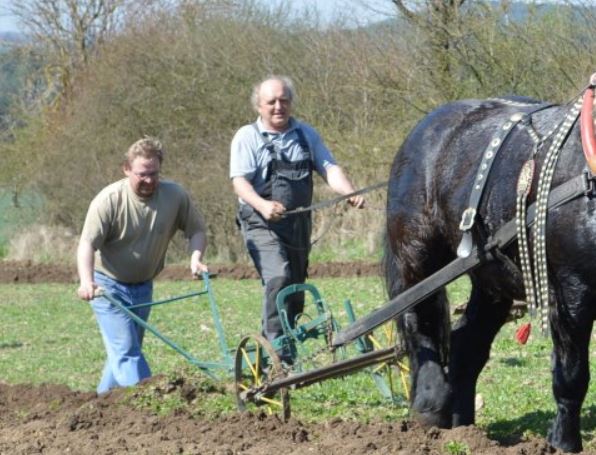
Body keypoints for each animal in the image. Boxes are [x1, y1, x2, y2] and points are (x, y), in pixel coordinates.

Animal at [386, 91, 596, 452]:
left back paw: (464, 429)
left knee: (466, 344)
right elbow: (571, 371)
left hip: (493, 277)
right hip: (415, 255)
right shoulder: (572, 290)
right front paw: (562, 443)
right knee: (419, 320)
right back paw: (431, 406)